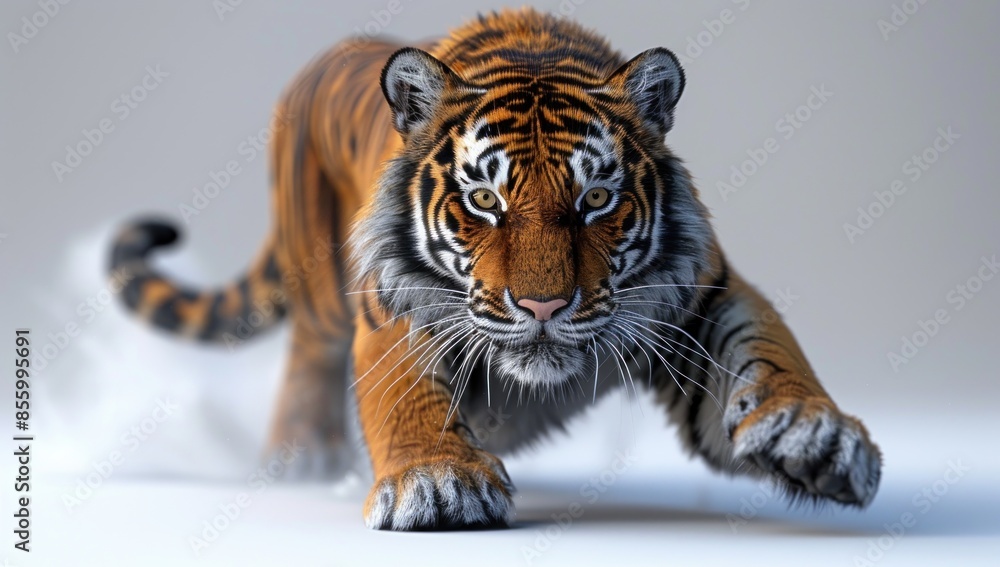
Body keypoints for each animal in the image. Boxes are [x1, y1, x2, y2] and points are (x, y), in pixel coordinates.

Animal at [110, 8, 881, 530]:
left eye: (596, 198)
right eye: (485, 199)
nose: (543, 308)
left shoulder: (701, 295)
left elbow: (767, 348)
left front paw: (815, 433)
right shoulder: (395, 302)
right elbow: (406, 394)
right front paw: (435, 482)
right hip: (320, 284)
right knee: (308, 351)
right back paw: (302, 458)